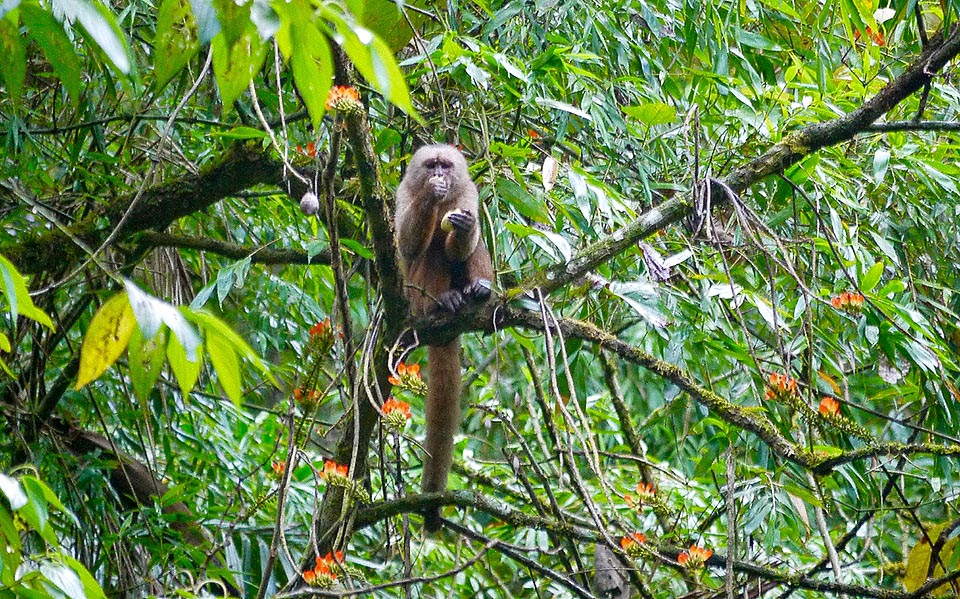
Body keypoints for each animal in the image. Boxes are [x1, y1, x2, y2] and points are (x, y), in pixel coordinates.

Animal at [392, 143, 492, 532]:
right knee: (430, 249)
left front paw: (465, 228)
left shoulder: (468, 194)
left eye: (446, 166)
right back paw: (442, 303)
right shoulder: (403, 191)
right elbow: (407, 245)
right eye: (432, 165)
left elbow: (462, 242)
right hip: (414, 297)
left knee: (468, 246)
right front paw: (430, 197)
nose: (439, 176)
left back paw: (478, 291)